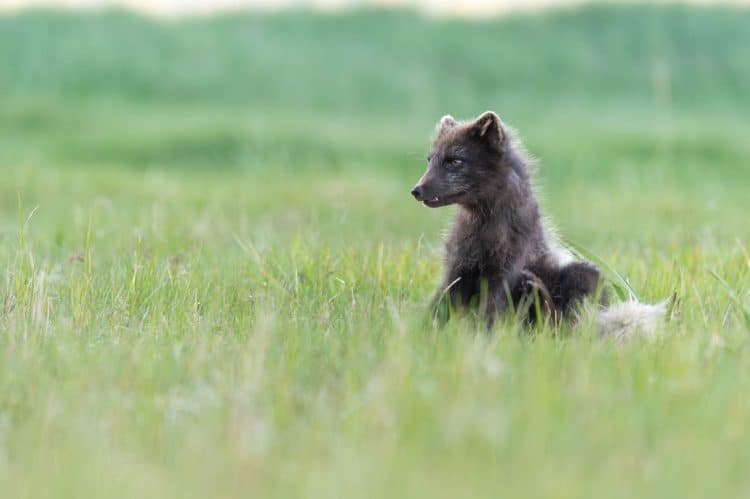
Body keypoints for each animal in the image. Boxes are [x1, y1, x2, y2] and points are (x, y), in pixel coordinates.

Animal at [411, 111, 665, 340]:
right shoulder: (458, 269)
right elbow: (438, 306)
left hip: (584, 273)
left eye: (454, 161)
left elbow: (489, 311)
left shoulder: (504, 273)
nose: (416, 190)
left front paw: (481, 338)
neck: (484, 229)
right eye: (429, 160)